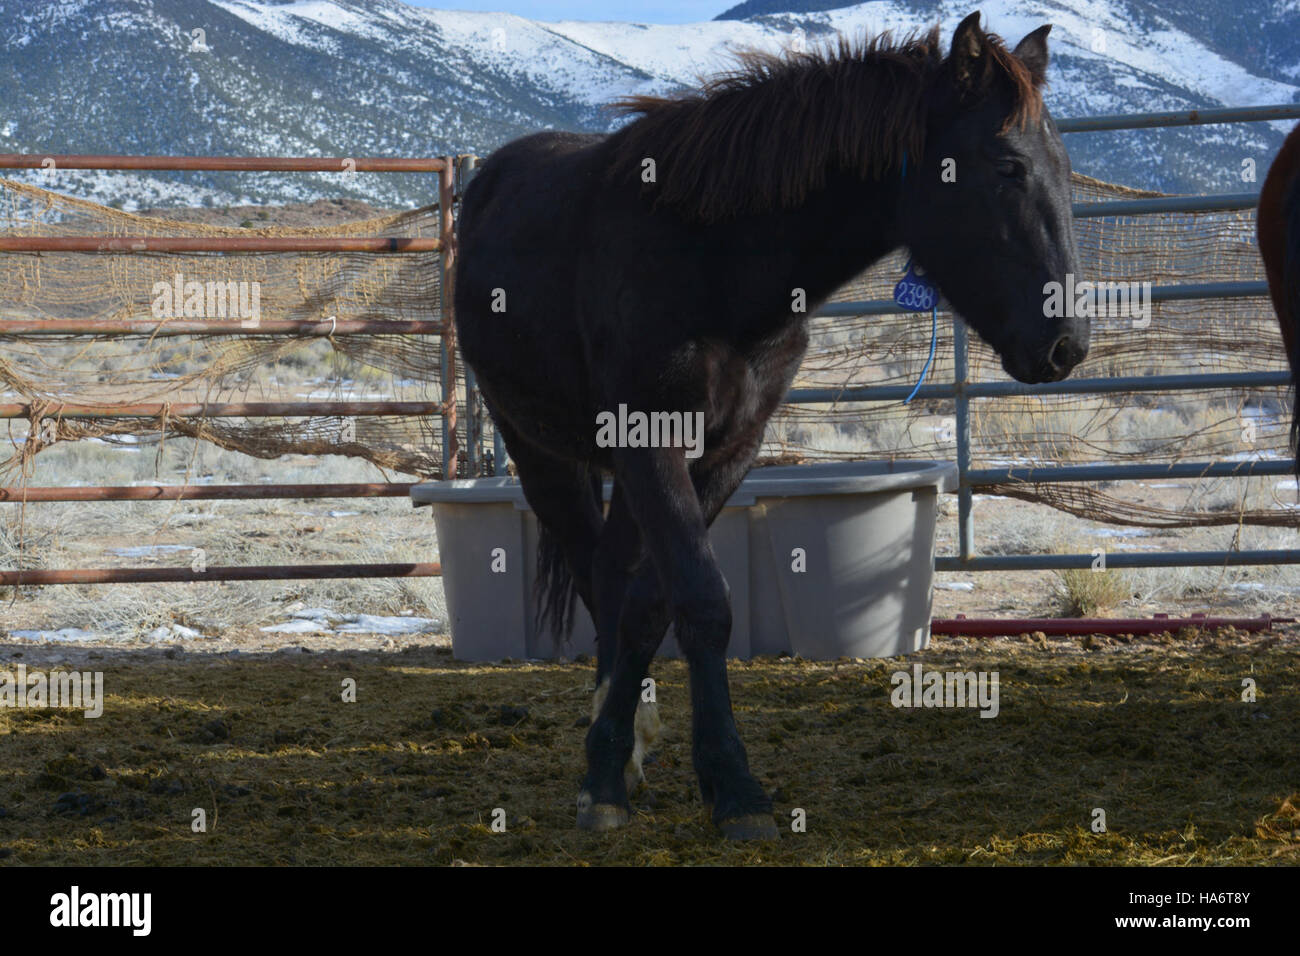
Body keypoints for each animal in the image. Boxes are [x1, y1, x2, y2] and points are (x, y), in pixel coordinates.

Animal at [453, 12, 1088, 840]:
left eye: (1065, 170)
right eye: (1007, 165)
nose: (1066, 343)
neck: (714, 261)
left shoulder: (727, 452)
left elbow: (657, 602)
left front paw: (660, 769)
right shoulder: (649, 445)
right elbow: (700, 602)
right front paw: (717, 787)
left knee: (618, 580)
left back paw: (627, 745)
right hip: (541, 454)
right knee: (595, 573)